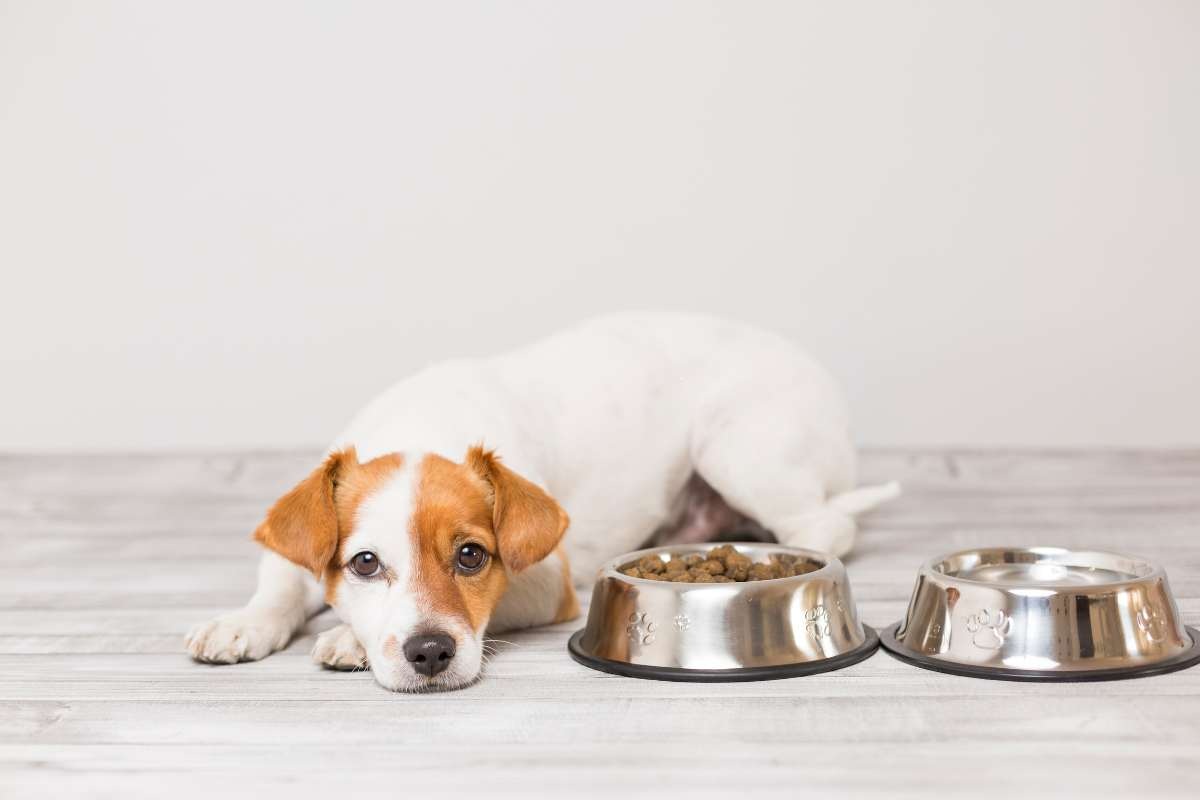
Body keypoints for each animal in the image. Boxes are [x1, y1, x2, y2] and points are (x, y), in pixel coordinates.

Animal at [184, 316, 902, 690]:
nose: (429, 653)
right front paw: (242, 623)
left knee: (826, 522)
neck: (421, 425)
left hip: (738, 451)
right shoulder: (299, 549)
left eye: (472, 556)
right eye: (364, 563)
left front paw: (346, 637)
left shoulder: (546, 583)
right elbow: (281, 583)